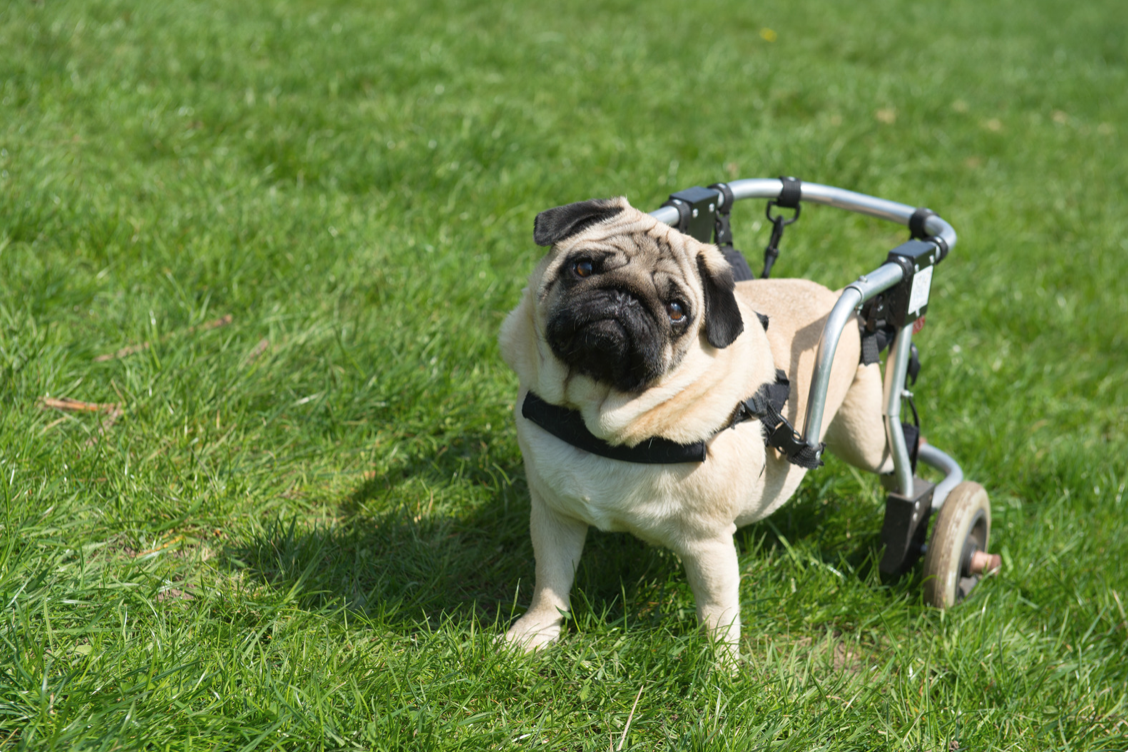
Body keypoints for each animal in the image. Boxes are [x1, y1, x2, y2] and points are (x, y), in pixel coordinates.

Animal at [498, 198, 893, 658]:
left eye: (677, 311)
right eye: (583, 267)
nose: (624, 296)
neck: (599, 421)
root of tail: (833, 297)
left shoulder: (709, 544)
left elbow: (718, 616)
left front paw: (722, 668)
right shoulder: (554, 515)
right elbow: (551, 583)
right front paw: (535, 634)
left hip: (864, 437)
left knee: (893, 459)